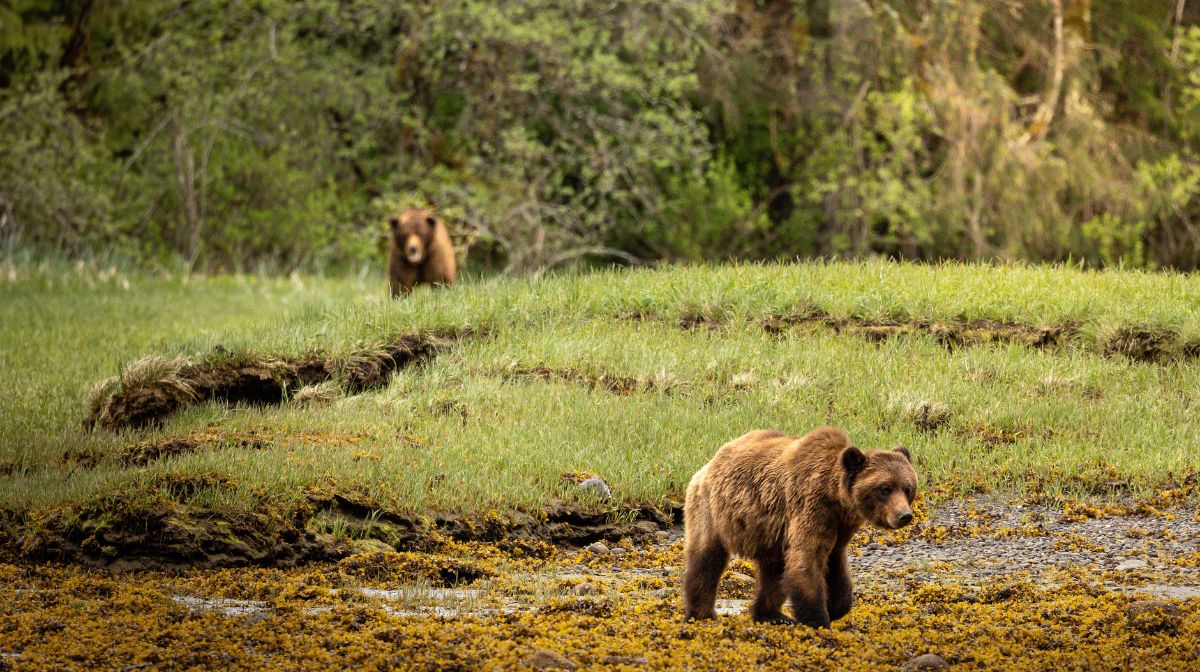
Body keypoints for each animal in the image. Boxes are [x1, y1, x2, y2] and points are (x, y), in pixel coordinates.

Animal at [681, 427, 912, 628]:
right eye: (885, 488)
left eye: (907, 488)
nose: (905, 515)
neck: (835, 497)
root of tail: (708, 463)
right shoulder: (811, 508)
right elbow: (806, 560)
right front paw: (818, 620)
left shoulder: (839, 527)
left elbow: (836, 565)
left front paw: (836, 607)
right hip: (711, 509)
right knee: (707, 560)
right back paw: (702, 614)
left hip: (769, 534)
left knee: (773, 572)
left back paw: (772, 615)